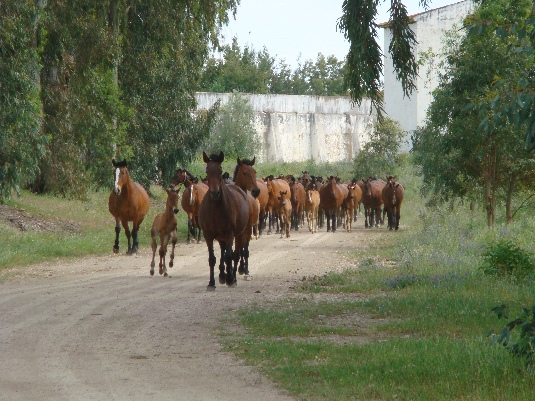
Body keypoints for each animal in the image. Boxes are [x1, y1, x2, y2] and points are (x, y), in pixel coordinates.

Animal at [199, 150, 253, 288]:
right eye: (207, 170)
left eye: (220, 170)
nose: (215, 193)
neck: (216, 208)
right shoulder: (208, 235)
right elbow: (212, 258)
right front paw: (211, 283)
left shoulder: (230, 233)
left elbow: (230, 256)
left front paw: (230, 279)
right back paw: (223, 275)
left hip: (239, 234)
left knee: (235, 254)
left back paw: (232, 277)